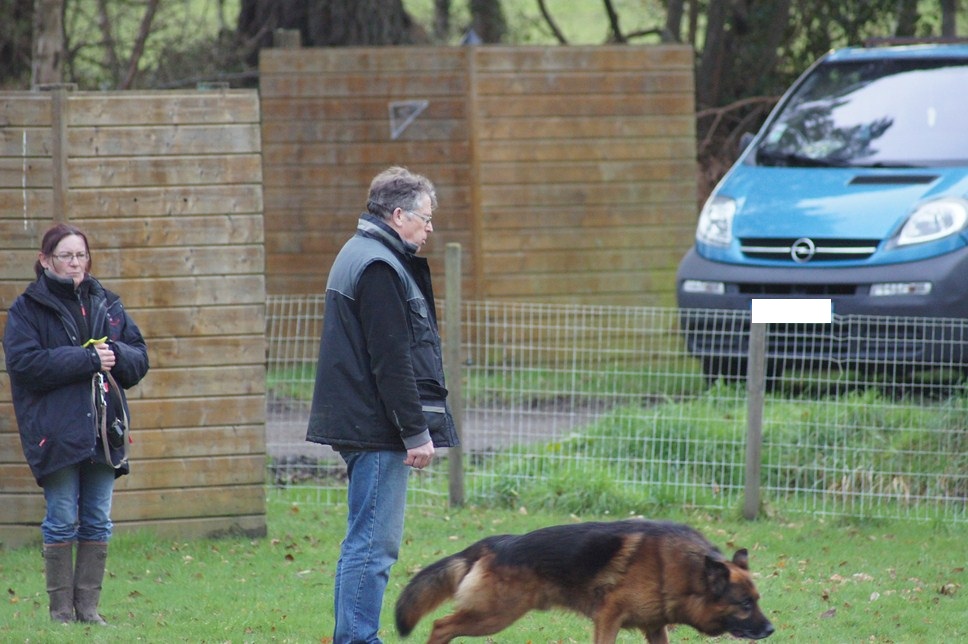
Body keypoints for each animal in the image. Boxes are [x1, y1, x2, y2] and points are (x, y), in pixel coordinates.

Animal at [394, 520, 772, 640]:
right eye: (744, 603)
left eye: (758, 600)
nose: (771, 630)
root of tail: (497, 543)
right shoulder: (608, 617)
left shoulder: (654, 626)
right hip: (494, 615)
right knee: (441, 625)